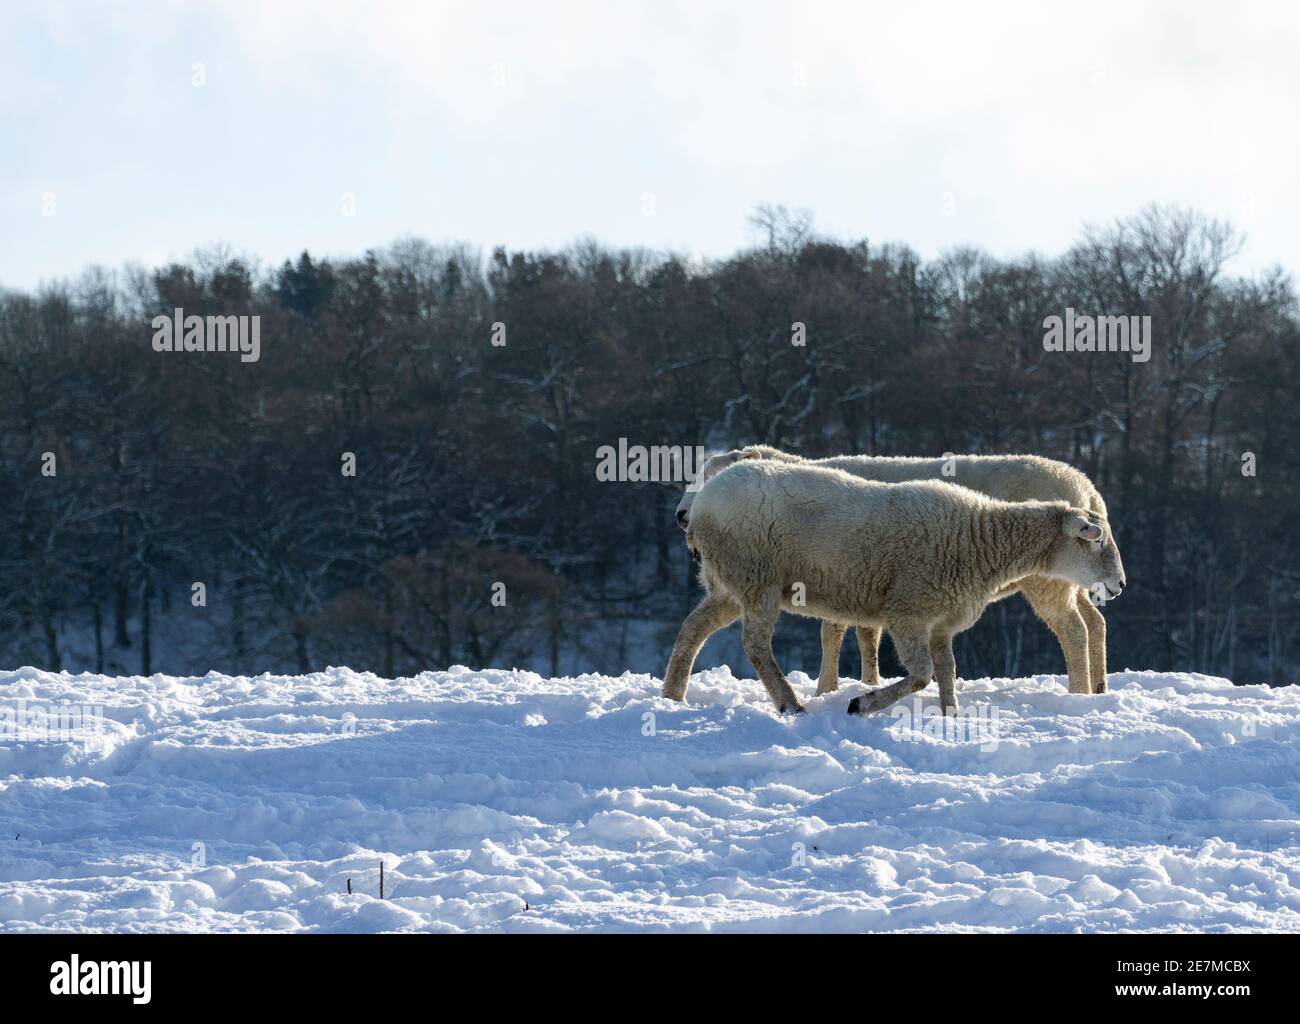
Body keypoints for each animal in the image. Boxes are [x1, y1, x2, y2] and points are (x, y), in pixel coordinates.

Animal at [665, 460, 1123, 717]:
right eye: (1096, 538)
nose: (1120, 584)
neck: (980, 539)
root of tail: (703, 504)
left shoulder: (941, 623)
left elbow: (946, 670)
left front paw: (950, 717)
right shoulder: (907, 612)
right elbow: (920, 674)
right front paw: (861, 703)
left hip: (730, 584)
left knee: (692, 629)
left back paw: (672, 695)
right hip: (756, 577)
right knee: (756, 645)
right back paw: (790, 704)